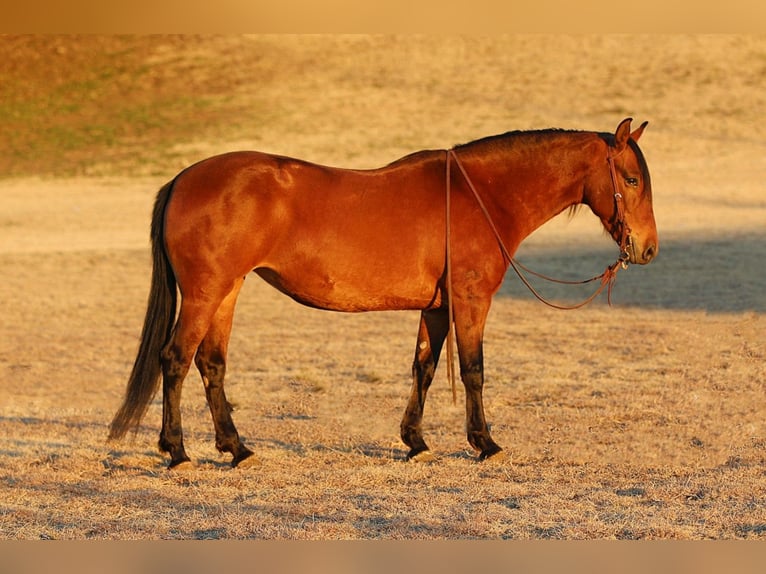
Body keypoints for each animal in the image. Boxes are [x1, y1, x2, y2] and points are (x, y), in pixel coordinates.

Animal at [108, 118, 660, 472]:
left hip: (226, 291)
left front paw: (416, 442)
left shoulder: (437, 307)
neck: (478, 194)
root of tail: (184, 179)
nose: (648, 248)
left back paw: (236, 448)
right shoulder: (470, 301)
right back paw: (177, 452)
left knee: (211, 364)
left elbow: (425, 367)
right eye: (632, 179)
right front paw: (484, 442)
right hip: (205, 293)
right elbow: (474, 370)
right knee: (175, 360)